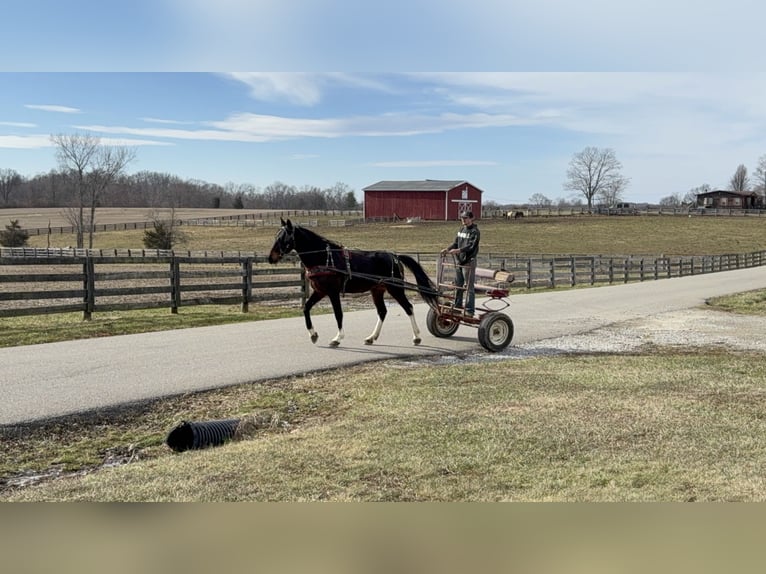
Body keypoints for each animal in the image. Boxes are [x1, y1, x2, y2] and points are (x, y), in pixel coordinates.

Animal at [268, 219, 438, 346]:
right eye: (276, 236)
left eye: (284, 238)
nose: (271, 258)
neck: (324, 258)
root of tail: (395, 256)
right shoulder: (320, 291)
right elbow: (306, 308)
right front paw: (313, 334)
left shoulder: (332, 292)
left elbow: (338, 314)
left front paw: (337, 338)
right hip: (377, 290)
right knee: (382, 311)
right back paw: (371, 337)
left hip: (395, 289)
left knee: (408, 308)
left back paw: (416, 337)